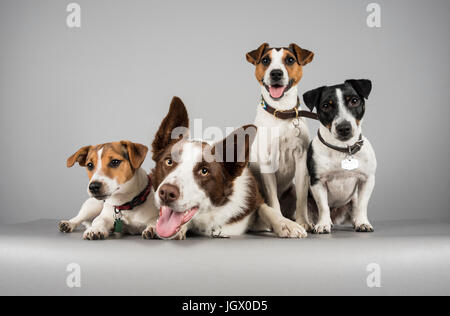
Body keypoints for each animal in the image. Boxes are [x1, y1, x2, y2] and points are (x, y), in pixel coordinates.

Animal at [151, 96, 306, 239]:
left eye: (204, 171)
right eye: (169, 162)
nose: (166, 192)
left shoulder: (254, 197)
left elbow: (266, 209)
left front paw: (286, 224)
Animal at [246, 42, 316, 233]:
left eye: (290, 60)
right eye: (265, 60)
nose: (276, 73)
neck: (282, 112)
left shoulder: (301, 160)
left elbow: (301, 197)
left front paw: (303, 221)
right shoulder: (267, 162)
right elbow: (272, 200)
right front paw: (279, 221)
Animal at [302, 80, 376, 233]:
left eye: (354, 101)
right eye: (325, 106)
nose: (344, 128)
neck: (343, 149)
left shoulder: (367, 179)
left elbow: (362, 205)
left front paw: (362, 222)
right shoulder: (317, 182)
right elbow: (323, 206)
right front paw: (323, 224)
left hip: (352, 198)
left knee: (355, 206)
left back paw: (355, 221)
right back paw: (312, 223)